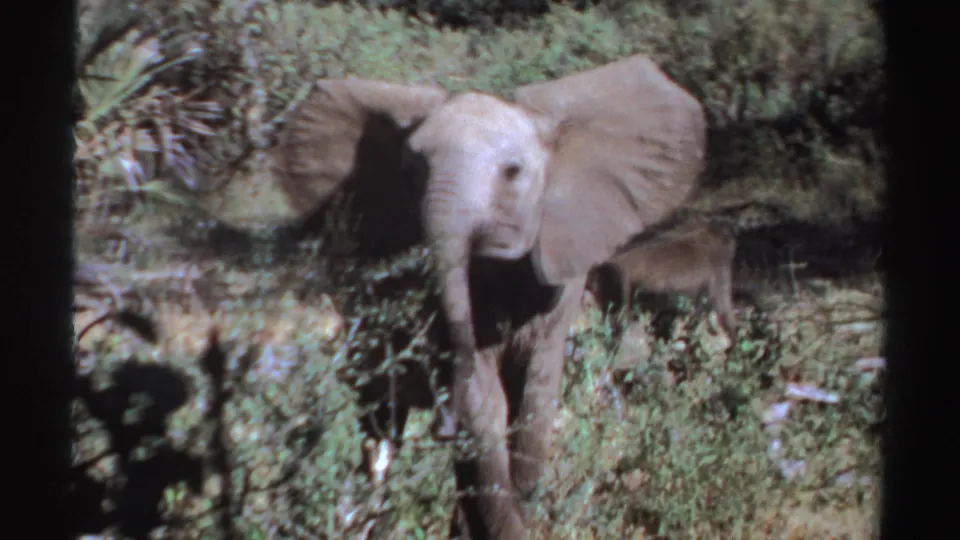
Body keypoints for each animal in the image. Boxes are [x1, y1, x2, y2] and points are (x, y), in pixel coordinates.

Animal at [268, 54, 708, 539]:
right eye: (408, 172)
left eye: (513, 172)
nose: (442, 425)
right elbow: (485, 403)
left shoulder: (561, 266)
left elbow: (534, 400)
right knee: (379, 426)